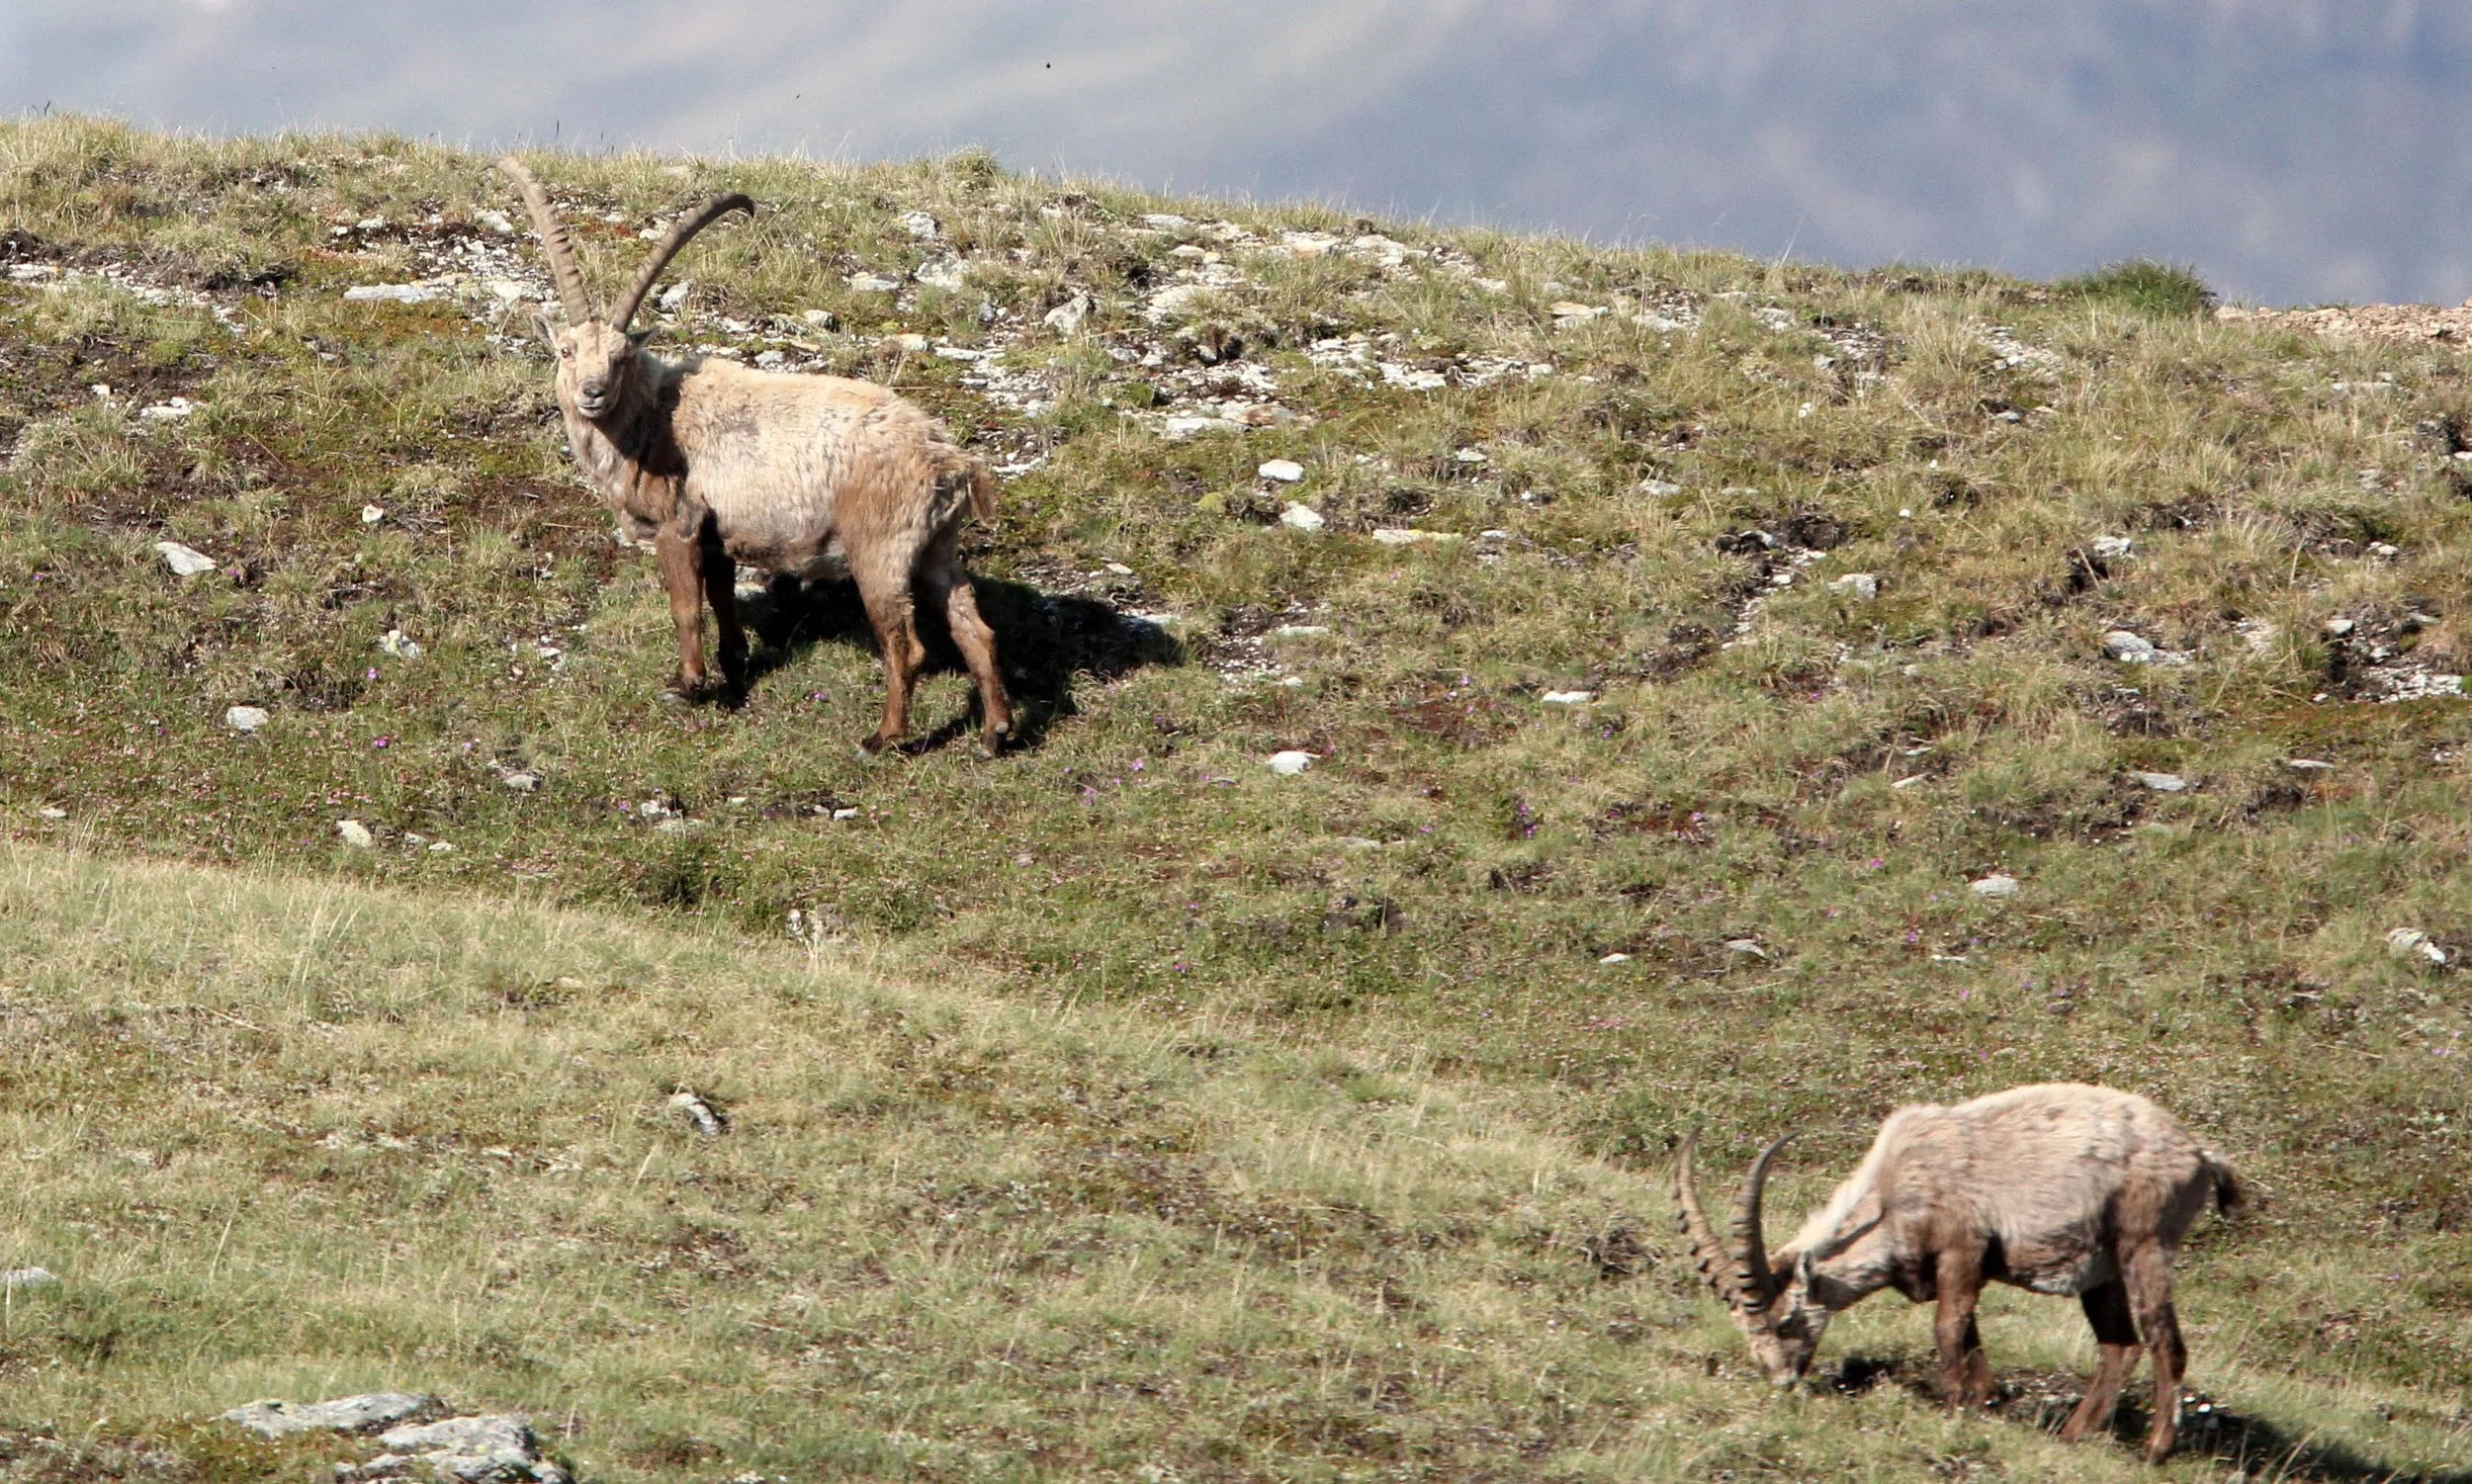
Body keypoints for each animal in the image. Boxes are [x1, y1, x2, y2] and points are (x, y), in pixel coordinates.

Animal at [494, 156, 1011, 755]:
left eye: (622, 357)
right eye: (565, 350)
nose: (592, 392)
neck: (652, 419)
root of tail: (951, 461)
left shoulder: (679, 524)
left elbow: (686, 608)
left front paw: (688, 685)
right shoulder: (720, 535)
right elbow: (722, 600)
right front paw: (733, 668)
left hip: (880, 548)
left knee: (906, 644)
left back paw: (884, 737)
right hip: (935, 547)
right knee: (975, 629)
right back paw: (996, 732)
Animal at [1673, 1083, 2241, 1463]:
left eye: (1785, 1321)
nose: (1782, 1381)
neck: (1895, 1187)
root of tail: (2201, 1156)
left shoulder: (1962, 1246)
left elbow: (1948, 1328)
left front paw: (1952, 1408)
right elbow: (1970, 1337)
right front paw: (1982, 1401)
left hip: (2144, 1245)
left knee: (2166, 1343)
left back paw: (2156, 1449)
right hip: (2102, 1273)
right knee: (2120, 1345)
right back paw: (2073, 1435)